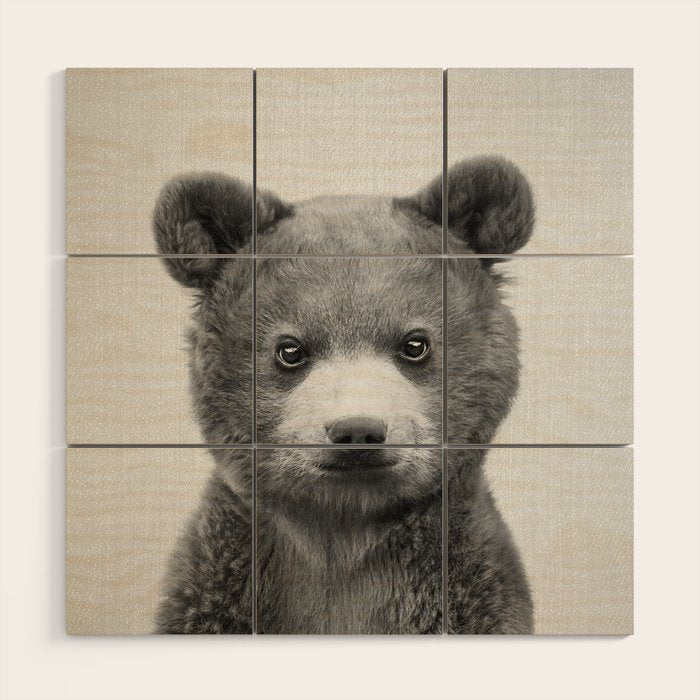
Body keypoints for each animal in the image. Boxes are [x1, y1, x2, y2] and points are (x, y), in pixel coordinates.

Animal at [153, 156, 535, 634]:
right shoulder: (218, 586)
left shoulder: (469, 589)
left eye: (415, 343)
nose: (357, 430)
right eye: (290, 349)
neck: (343, 532)